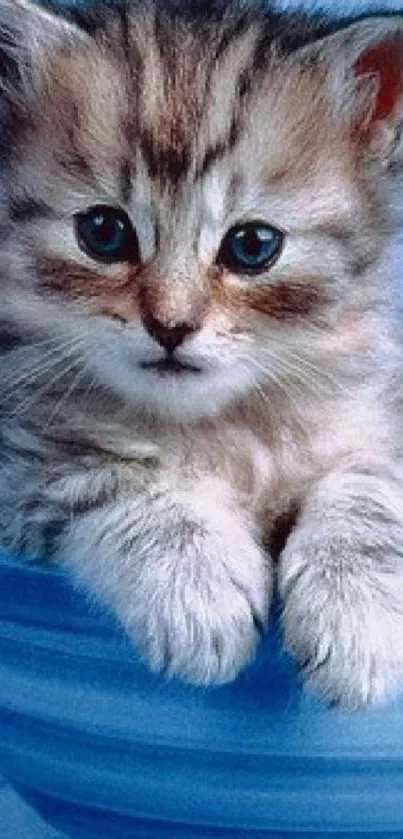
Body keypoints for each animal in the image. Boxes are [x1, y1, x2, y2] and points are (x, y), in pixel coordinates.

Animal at [0, 0, 403, 708]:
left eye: (252, 246)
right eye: (103, 232)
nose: (171, 325)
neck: (224, 427)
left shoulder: (376, 415)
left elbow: (369, 491)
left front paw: (356, 614)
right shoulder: (23, 455)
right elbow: (119, 481)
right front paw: (196, 589)